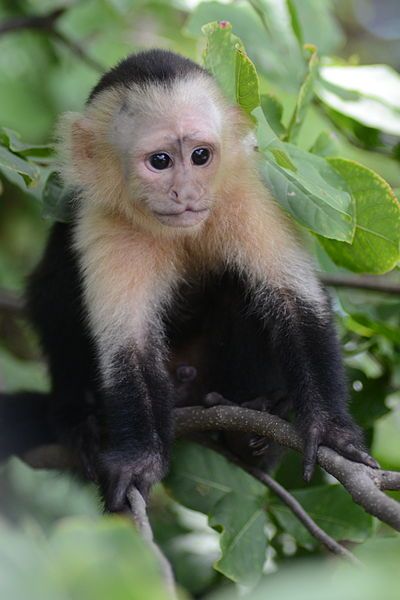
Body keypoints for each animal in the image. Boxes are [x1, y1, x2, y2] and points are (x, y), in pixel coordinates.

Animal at [0, 50, 378, 510]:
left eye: (200, 156)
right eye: (160, 161)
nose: (185, 193)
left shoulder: (246, 196)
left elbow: (294, 304)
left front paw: (327, 428)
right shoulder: (102, 222)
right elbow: (129, 347)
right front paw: (138, 460)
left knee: (240, 288)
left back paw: (253, 428)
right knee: (54, 287)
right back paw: (77, 419)